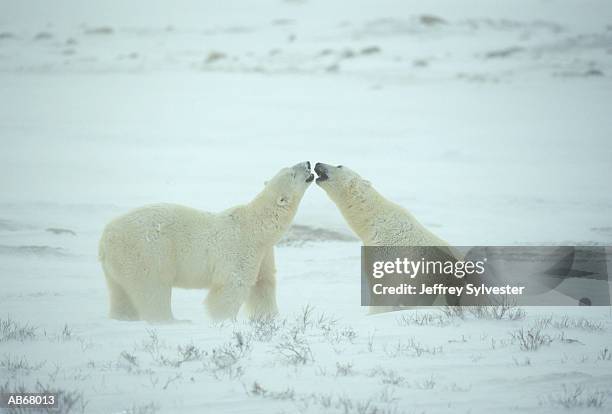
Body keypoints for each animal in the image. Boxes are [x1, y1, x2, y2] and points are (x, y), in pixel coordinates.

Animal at [100, 160, 316, 322]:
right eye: (291, 173)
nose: (307, 163)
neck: (256, 227)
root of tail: (105, 239)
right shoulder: (239, 248)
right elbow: (231, 287)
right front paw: (223, 321)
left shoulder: (263, 254)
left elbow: (263, 285)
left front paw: (270, 318)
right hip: (147, 251)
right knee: (152, 288)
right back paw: (171, 320)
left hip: (119, 263)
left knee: (121, 292)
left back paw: (123, 317)